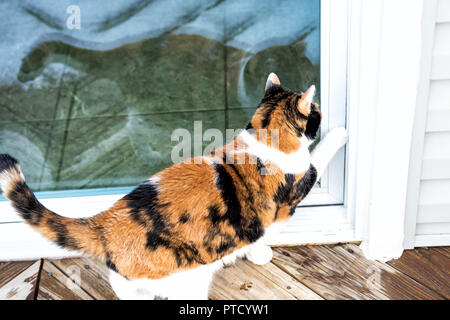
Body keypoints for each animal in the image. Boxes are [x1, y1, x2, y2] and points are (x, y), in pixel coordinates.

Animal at [0, 73, 348, 300]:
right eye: (316, 111)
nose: (321, 112)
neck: (264, 136)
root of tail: (106, 223)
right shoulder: (296, 187)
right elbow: (318, 157)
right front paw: (340, 133)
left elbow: (255, 234)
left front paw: (256, 252)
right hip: (187, 281)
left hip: (129, 286)